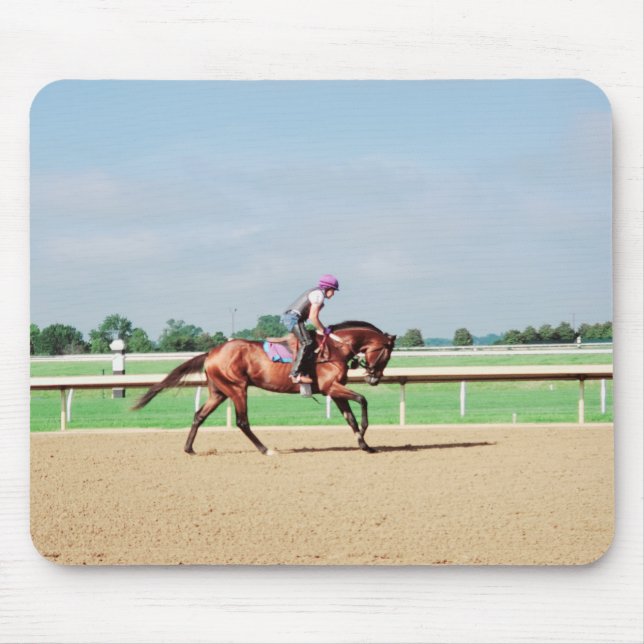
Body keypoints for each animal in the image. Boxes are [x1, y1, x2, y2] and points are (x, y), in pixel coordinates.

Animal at [132, 321, 396, 455]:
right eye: (386, 355)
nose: (375, 379)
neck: (334, 348)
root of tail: (211, 353)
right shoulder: (332, 386)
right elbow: (362, 400)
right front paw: (364, 433)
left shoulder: (333, 389)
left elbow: (350, 417)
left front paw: (365, 445)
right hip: (238, 388)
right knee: (242, 422)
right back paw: (265, 449)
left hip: (219, 391)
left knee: (199, 415)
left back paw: (189, 449)